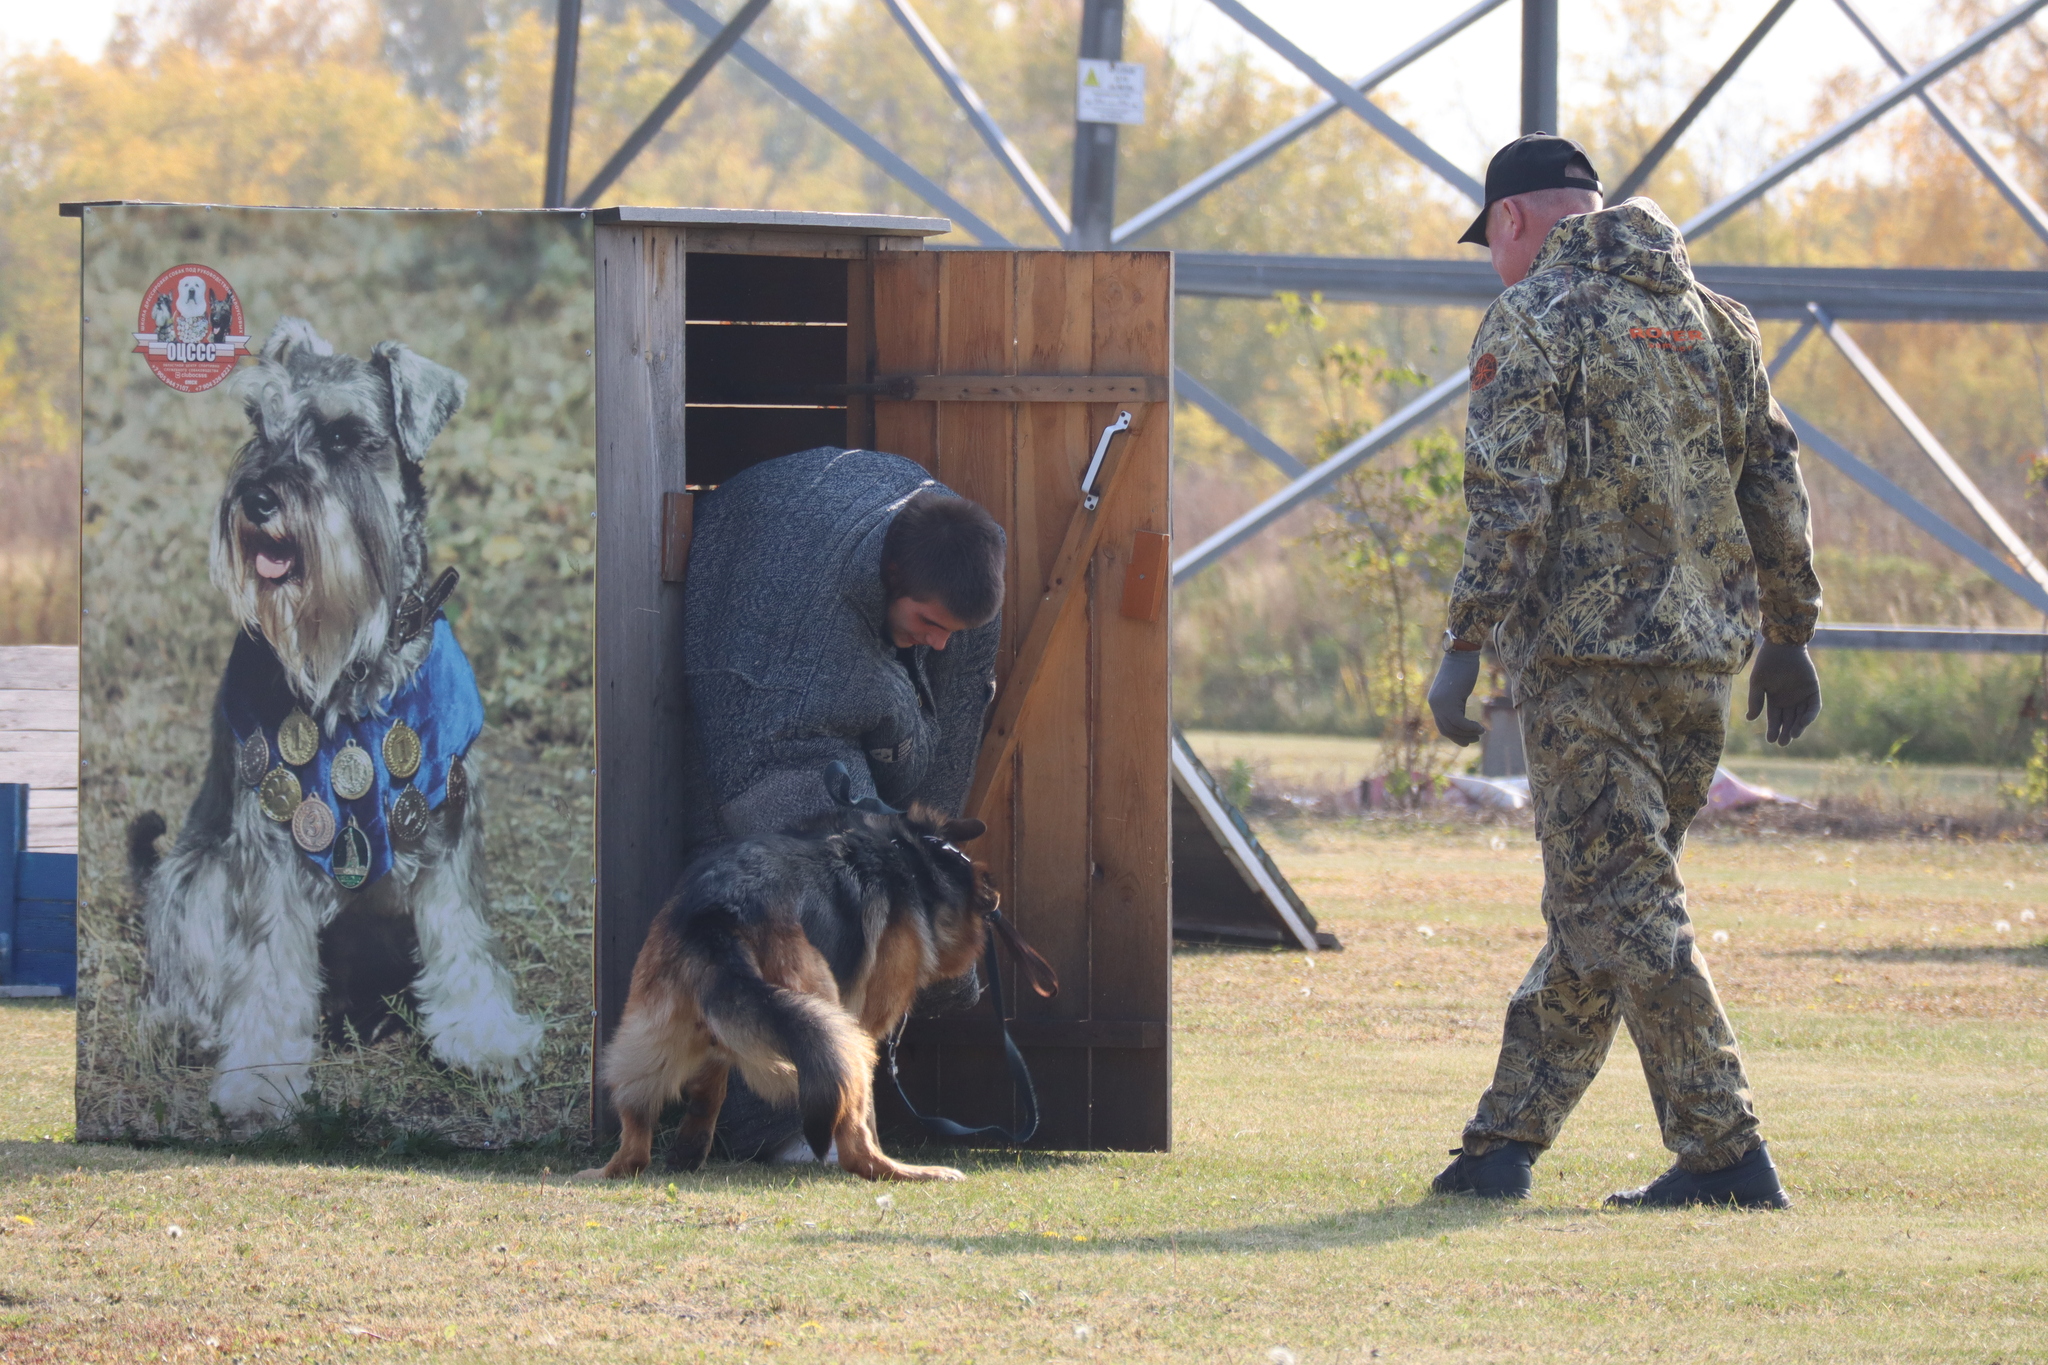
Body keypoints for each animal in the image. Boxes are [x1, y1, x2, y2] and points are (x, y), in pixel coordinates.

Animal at [132, 321, 540, 1129]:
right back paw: (185, 1024)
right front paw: (260, 1077)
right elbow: (266, 965)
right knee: (188, 964)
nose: (258, 497)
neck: (356, 664)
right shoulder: (266, 843)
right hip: (194, 875)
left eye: (349, 437)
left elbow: (464, 936)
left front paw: (485, 1037)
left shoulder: (447, 821)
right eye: (259, 423)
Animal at [581, 802, 1003, 1186]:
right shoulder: (865, 1026)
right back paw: (906, 1171)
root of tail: (723, 910)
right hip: (840, 1033)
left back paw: (609, 1169)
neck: (914, 852)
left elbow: (709, 1086)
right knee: (856, 1145)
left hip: (649, 1039)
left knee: (635, 1136)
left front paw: (689, 1149)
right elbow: (869, 1116)